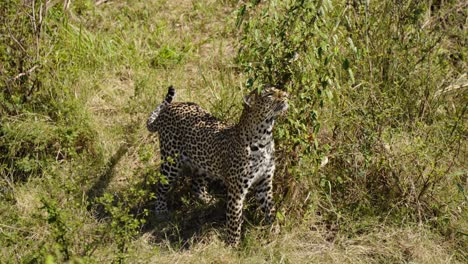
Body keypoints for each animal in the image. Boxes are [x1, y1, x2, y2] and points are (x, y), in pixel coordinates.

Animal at [146, 84, 288, 245]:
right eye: (269, 95)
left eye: (278, 90)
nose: (286, 94)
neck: (265, 138)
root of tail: (171, 107)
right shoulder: (236, 190)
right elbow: (234, 220)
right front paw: (233, 246)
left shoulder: (265, 182)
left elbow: (270, 209)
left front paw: (274, 232)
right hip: (170, 162)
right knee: (161, 186)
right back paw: (161, 212)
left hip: (203, 162)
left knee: (196, 186)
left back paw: (208, 201)